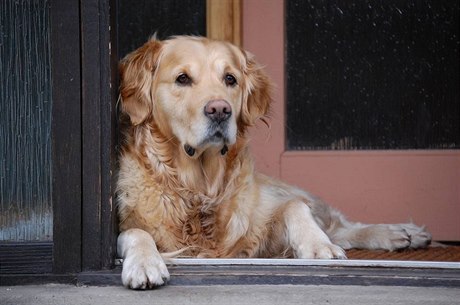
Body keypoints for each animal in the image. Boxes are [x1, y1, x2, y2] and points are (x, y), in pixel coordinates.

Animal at [116, 35, 432, 288]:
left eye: (230, 79)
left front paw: (318, 245)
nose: (220, 110)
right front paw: (145, 263)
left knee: (337, 224)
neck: (200, 190)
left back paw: (401, 233)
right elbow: (136, 232)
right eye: (182, 78)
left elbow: (294, 208)